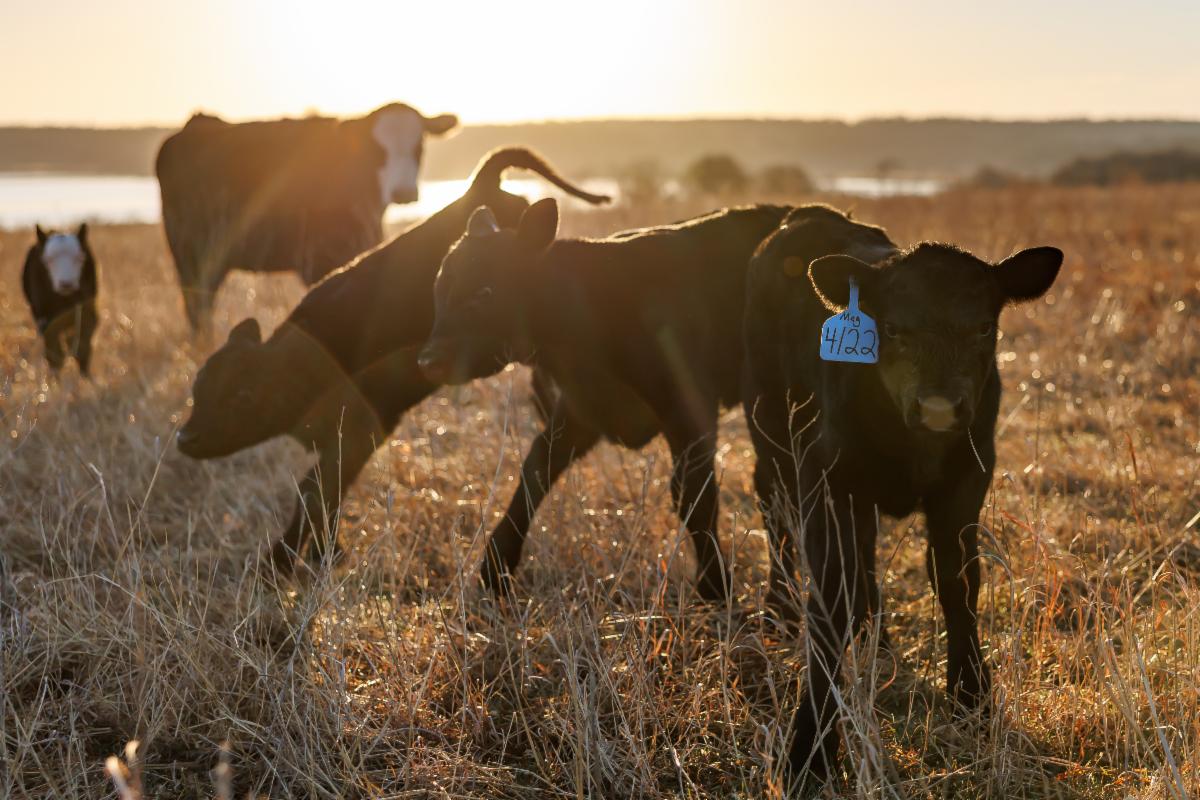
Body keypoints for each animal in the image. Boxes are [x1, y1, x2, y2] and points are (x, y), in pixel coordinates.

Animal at [22, 224, 99, 375]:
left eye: (79, 257)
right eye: (48, 260)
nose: (66, 284)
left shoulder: (87, 314)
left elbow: (82, 350)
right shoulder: (45, 320)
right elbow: (54, 355)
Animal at [156, 103, 458, 329]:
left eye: (419, 146)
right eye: (377, 149)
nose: (403, 191)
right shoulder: (319, 259)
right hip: (189, 253)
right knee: (197, 307)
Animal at [176, 148, 609, 572]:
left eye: (244, 396)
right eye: (197, 388)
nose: (185, 437)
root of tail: (482, 187)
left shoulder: (364, 429)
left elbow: (315, 491)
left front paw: (279, 561)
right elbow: (327, 492)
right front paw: (325, 554)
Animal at [417, 199, 791, 601]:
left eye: (485, 291)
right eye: (438, 288)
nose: (429, 361)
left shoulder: (690, 408)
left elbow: (694, 494)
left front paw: (714, 585)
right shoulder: (580, 410)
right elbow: (535, 472)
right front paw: (494, 569)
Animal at [739, 205, 1061, 783]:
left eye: (984, 327)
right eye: (890, 328)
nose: (938, 407)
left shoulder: (968, 479)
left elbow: (958, 582)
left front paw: (973, 699)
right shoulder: (827, 478)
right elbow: (831, 598)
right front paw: (809, 749)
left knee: (865, 559)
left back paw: (878, 636)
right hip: (770, 427)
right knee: (775, 513)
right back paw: (779, 610)